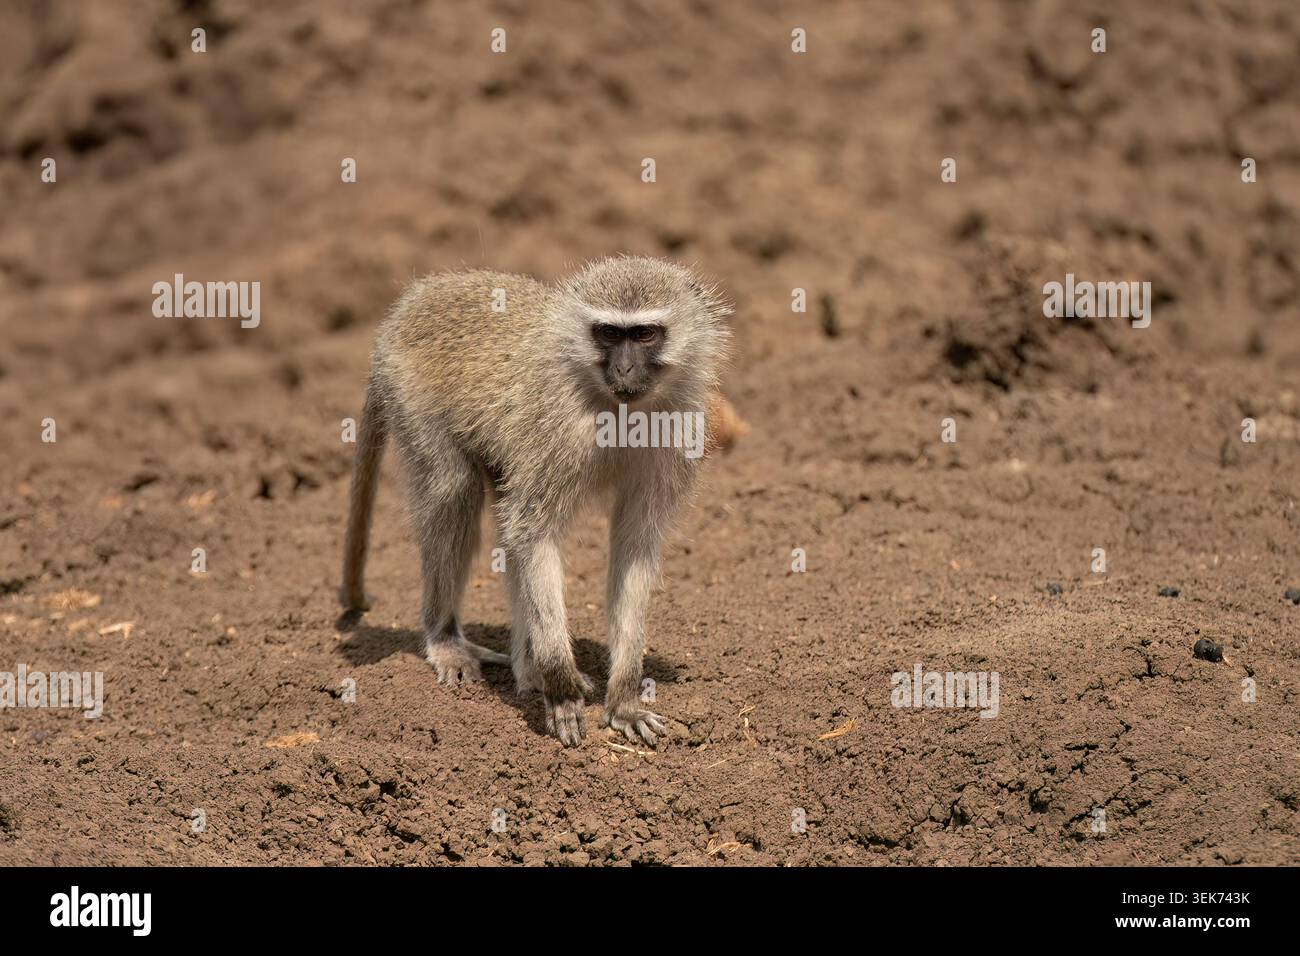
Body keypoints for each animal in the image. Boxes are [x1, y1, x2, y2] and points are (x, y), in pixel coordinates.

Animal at [340, 256, 733, 747]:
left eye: (644, 334)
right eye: (608, 333)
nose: (624, 371)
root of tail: (406, 309)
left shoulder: (678, 430)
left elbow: (633, 545)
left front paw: (623, 697)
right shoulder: (555, 428)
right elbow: (534, 532)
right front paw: (562, 688)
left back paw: (527, 671)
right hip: (411, 398)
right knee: (454, 490)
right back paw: (447, 639)